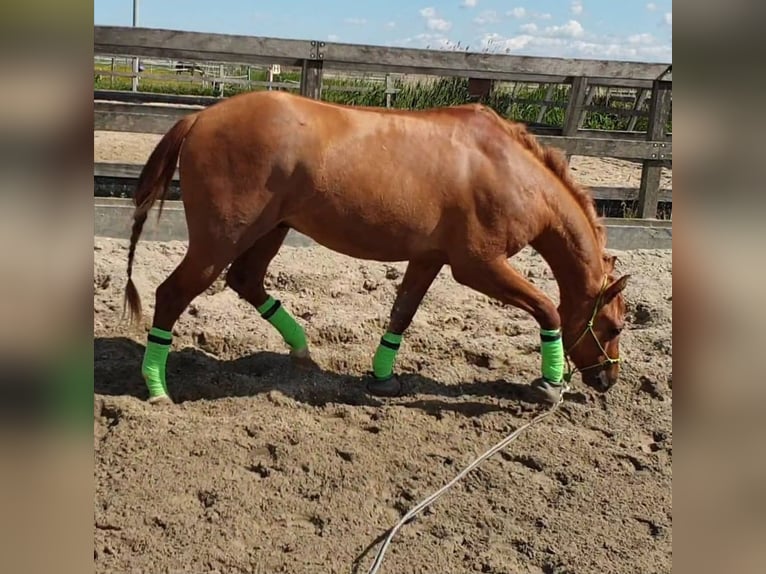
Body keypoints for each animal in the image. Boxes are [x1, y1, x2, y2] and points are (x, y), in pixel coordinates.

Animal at [124, 89, 632, 404]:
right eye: (614, 327)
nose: (607, 380)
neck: (508, 170)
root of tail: (200, 117)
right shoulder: (477, 265)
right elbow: (547, 309)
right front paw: (549, 385)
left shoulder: (428, 258)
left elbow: (401, 314)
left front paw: (383, 378)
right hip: (221, 238)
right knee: (172, 294)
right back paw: (157, 389)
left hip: (271, 230)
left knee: (246, 281)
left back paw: (303, 351)